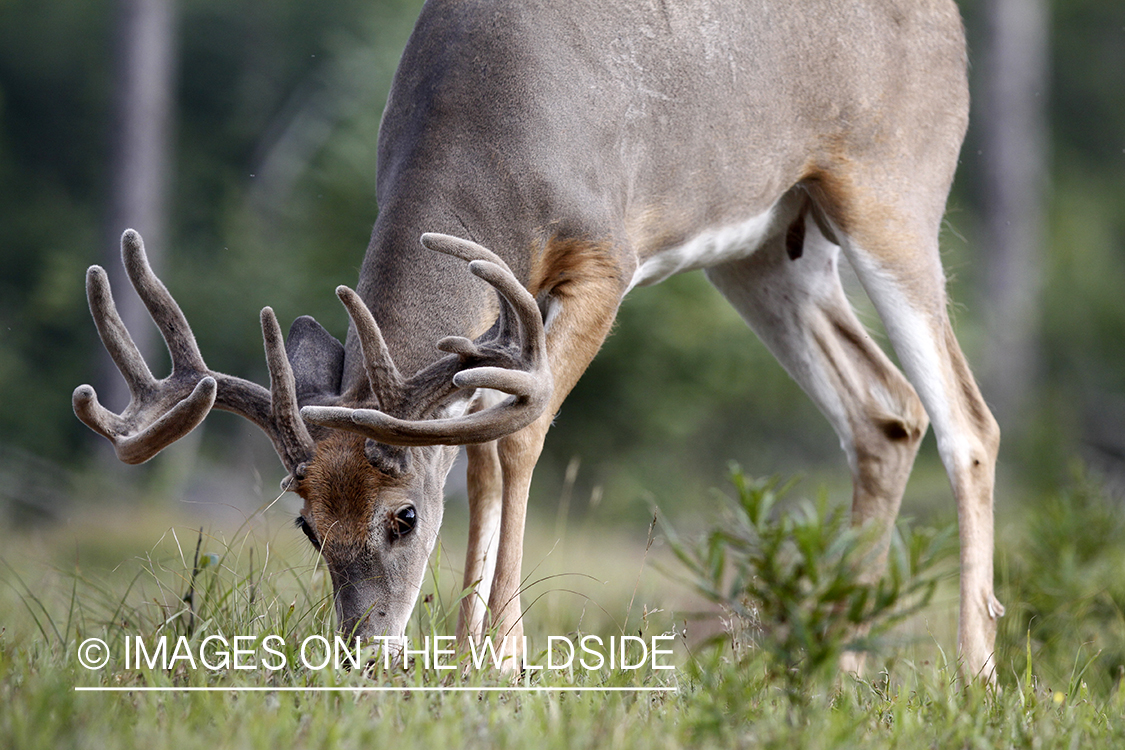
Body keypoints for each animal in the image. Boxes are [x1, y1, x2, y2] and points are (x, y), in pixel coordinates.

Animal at [74, 0, 1008, 679]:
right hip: (767, 245)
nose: (365, 651)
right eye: (307, 526)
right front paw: (463, 656)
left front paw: (506, 656)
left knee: (967, 419)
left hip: (894, 192)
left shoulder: (605, 253)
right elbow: (479, 455)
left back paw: (973, 673)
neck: (490, 131)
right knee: (884, 410)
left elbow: (519, 436)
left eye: (403, 518)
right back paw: (836, 661)